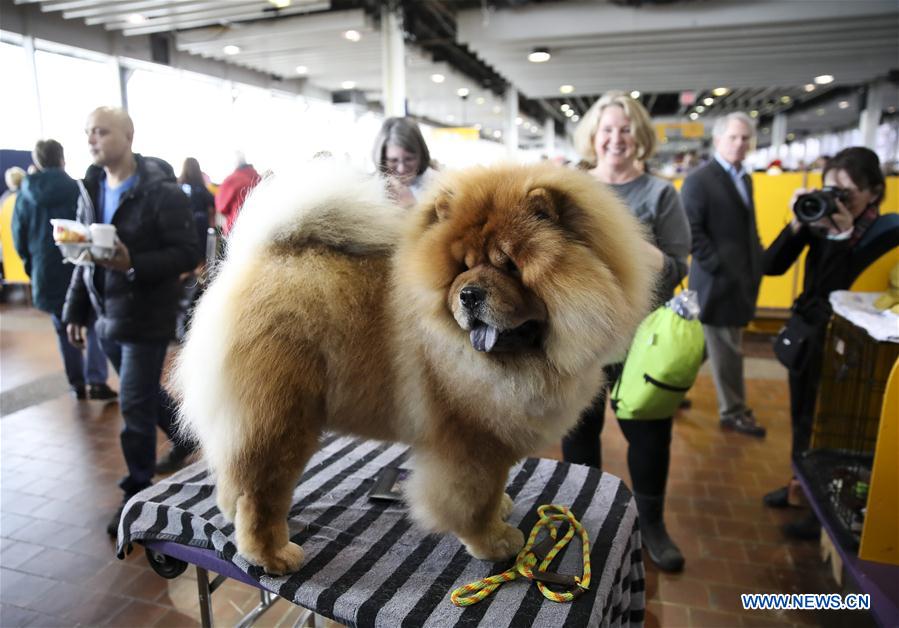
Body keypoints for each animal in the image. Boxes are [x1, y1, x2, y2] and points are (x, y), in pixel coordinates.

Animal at [174, 161, 652, 576]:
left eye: (510, 266)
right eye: (462, 268)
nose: (469, 294)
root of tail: (251, 262)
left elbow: (495, 487)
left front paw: (502, 510)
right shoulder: (469, 444)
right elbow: (474, 500)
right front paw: (495, 542)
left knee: (235, 475)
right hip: (282, 420)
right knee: (260, 493)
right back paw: (274, 555)